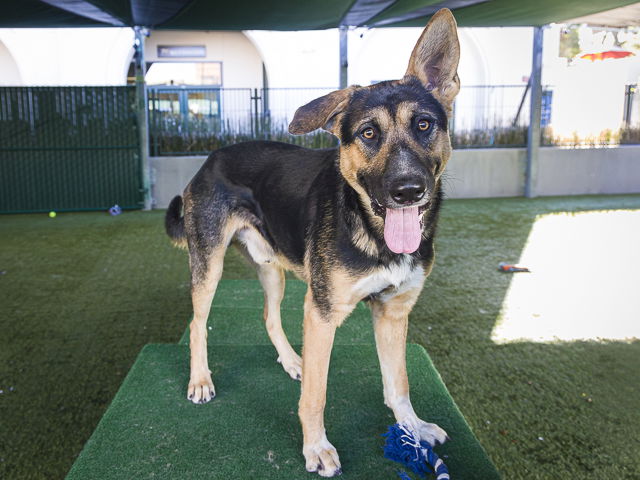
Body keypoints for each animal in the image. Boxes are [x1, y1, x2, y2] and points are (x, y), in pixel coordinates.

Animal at [165, 9, 460, 478]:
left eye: (424, 125)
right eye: (368, 134)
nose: (408, 190)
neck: (373, 232)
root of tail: (211, 158)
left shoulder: (393, 312)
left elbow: (399, 381)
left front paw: (412, 428)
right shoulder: (322, 314)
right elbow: (317, 396)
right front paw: (316, 448)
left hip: (273, 269)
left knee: (269, 317)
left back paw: (292, 360)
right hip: (208, 265)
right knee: (197, 324)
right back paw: (200, 380)